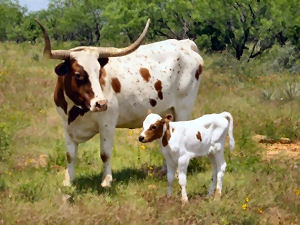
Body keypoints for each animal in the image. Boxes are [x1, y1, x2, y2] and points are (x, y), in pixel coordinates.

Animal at [35, 19, 204, 187]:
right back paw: (165, 171)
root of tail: (185, 43)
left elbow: (105, 153)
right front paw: (68, 181)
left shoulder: (107, 123)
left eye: (99, 72)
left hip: (183, 109)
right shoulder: (66, 124)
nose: (101, 103)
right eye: (78, 75)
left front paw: (106, 180)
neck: (76, 110)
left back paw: (175, 173)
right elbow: (70, 154)